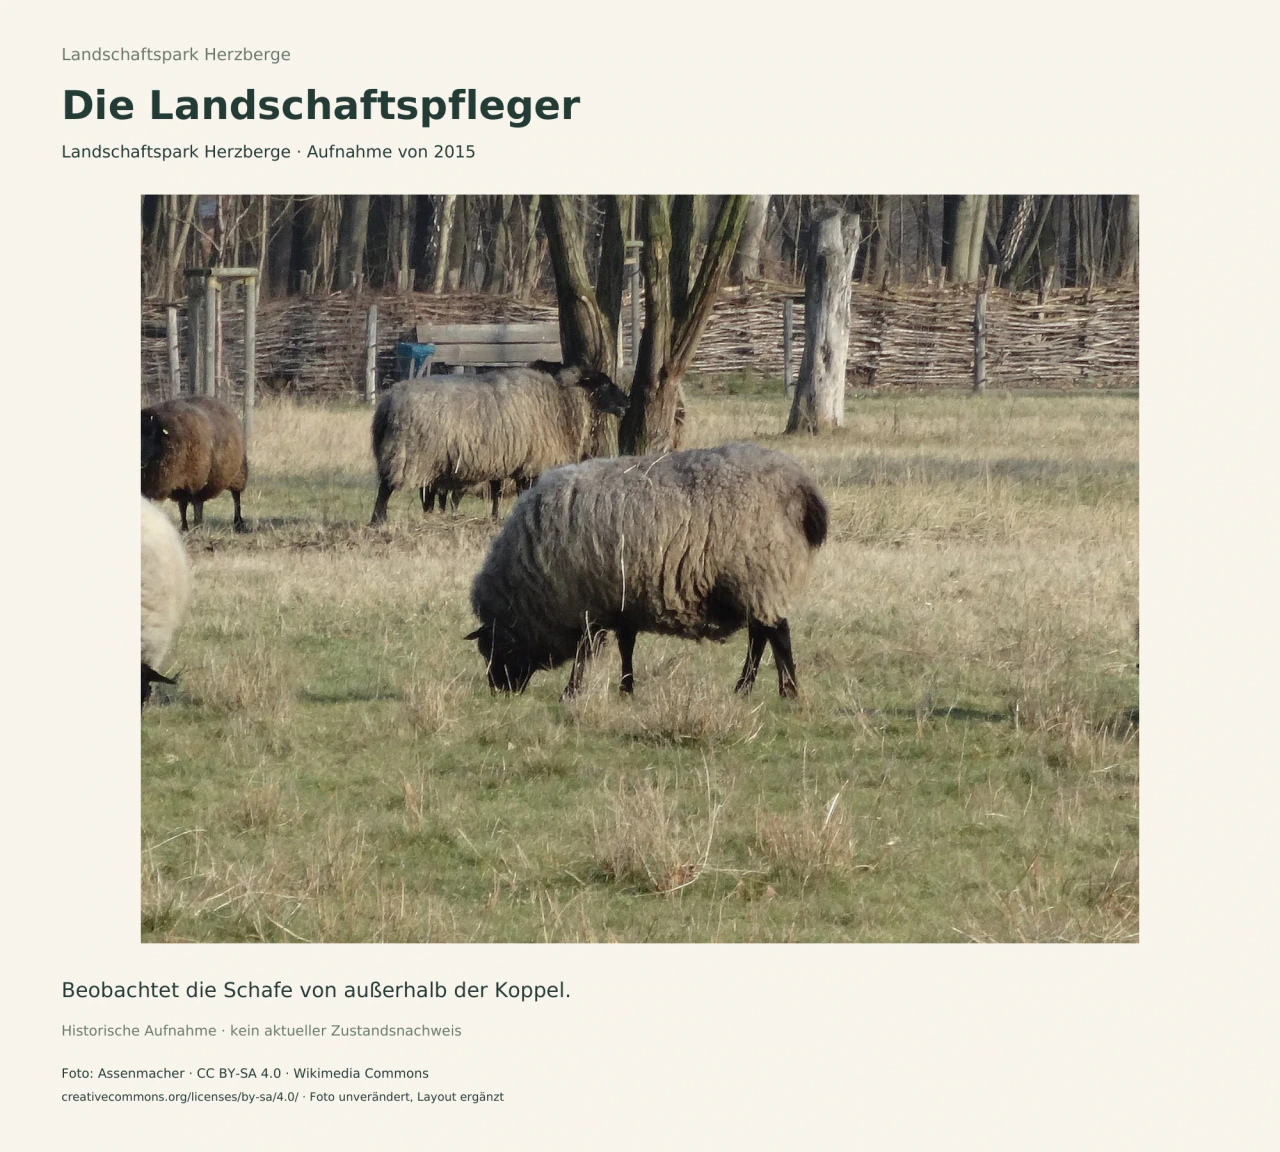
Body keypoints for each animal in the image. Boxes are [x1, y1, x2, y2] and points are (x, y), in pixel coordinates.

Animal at [141, 396, 248, 532]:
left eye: (151, 434)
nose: (140, 462)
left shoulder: (197, 478)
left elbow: (197, 504)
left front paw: (197, 526)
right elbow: (182, 506)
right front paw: (184, 528)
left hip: (238, 472)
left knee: (236, 497)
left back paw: (238, 523)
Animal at [369, 365, 629, 524]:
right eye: (604, 384)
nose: (626, 402)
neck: (561, 403)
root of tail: (388, 402)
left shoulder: (511, 462)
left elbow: (497, 492)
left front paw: (495, 518)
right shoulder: (531, 464)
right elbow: (522, 492)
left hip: (427, 459)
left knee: (423, 493)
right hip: (410, 454)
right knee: (386, 488)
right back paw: (378, 520)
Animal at [467, 441, 829, 699]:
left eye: (493, 648)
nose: (500, 691)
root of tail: (801, 486)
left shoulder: (587, 604)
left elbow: (585, 652)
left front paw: (571, 692)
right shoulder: (621, 601)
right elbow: (626, 646)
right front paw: (626, 689)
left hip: (759, 572)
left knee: (777, 634)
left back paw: (787, 690)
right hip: (757, 580)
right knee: (761, 635)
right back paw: (746, 689)